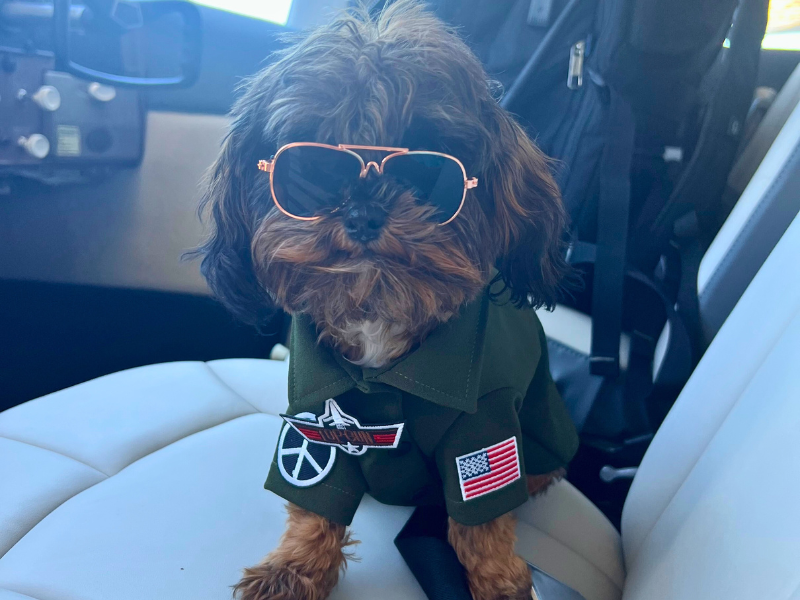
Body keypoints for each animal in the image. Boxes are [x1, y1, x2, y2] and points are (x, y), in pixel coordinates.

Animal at [197, 2, 580, 596]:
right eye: (310, 163)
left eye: (429, 165)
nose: (362, 211)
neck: (379, 315)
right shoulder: (312, 414)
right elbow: (314, 505)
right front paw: (294, 570)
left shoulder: (486, 423)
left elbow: (482, 525)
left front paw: (500, 585)